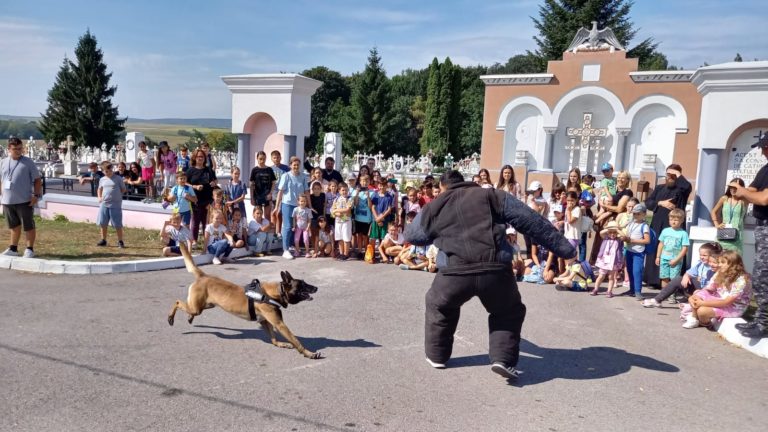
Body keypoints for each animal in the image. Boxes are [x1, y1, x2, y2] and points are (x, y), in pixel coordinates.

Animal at [166, 243, 322, 358]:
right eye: (302, 284)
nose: (316, 288)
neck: (275, 293)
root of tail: (203, 275)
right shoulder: (280, 324)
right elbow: (295, 339)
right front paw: (308, 353)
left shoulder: (265, 322)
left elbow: (273, 338)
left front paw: (280, 344)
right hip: (197, 308)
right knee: (178, 302)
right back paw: (171, 317)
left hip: (206, 305)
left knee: (188, 308)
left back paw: (189, 318)